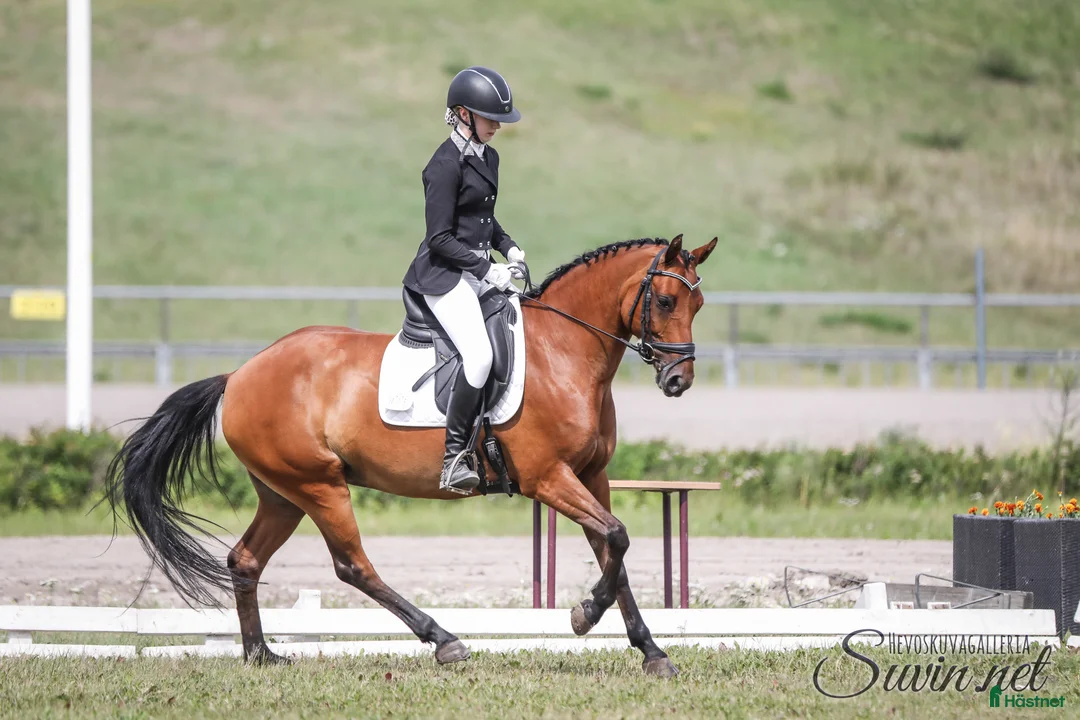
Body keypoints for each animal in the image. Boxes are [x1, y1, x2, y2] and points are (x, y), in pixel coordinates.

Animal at [103, 234, 717, 677]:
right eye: (665, 300)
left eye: (700, 302)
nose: (678, 380)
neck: (563, 352)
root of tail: (240, 374)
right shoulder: (547, 477)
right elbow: (616, 538)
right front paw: (583, 616)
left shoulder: (592, 476)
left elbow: (613, 551)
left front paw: (651, 651)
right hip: (319, 486)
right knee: (352, 565)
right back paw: (443, 640)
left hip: (283, 493)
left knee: (245, 560)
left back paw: (262, 656)